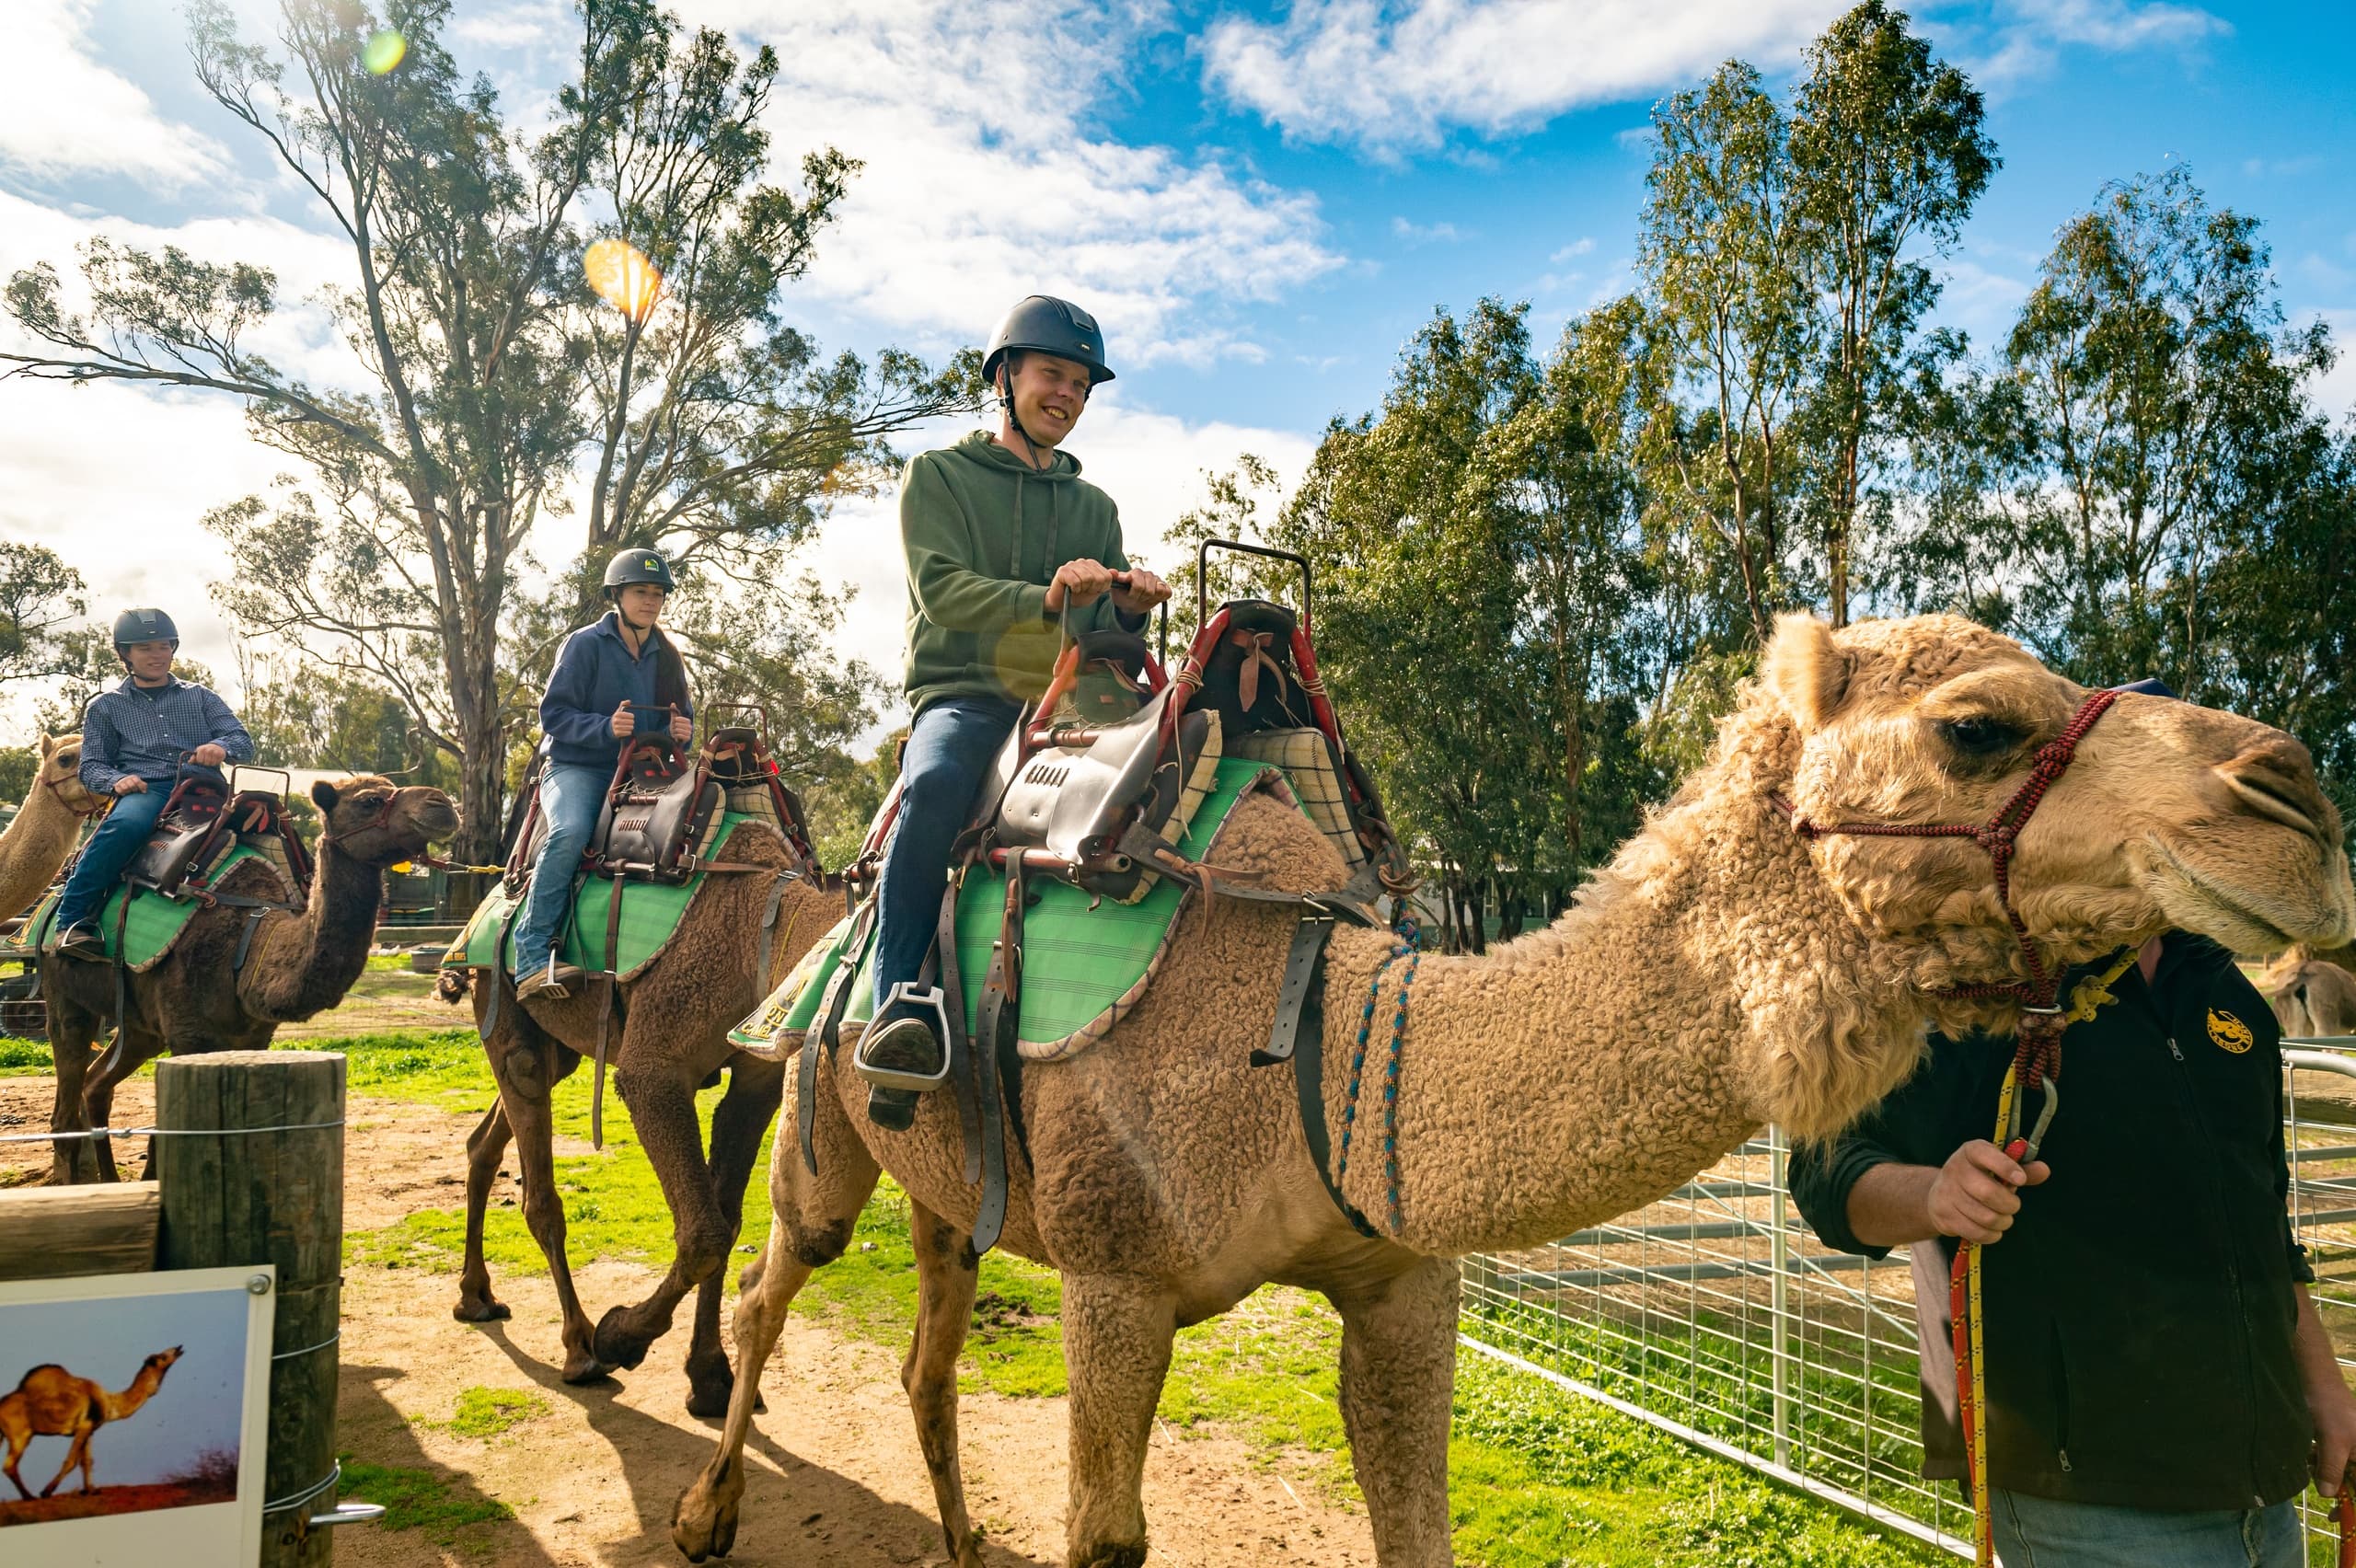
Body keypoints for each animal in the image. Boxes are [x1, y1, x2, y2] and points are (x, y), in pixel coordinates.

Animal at [1, 1346, 183, 1499]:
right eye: (163, 1356)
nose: (179, 1348)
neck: (110, 1403)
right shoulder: (84, 1426)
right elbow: (71, 1461)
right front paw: (46, 1491)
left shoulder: (89, 1429)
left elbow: (87, 1461)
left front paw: (90, 1490)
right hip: (20, 1435)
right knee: (9, 1465)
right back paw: (29, 1497)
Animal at [43, 777, 458, 1184]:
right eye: (369, 800)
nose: (442, 804)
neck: (246, 942)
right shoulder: (190, 1036)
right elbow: (167, 1141)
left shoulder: (254, 1036)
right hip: (64, 994)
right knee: (66, 1104)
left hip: (140, 1024)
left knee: (96, 1086)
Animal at [439, 820, 840, 1417]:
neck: (764, 928)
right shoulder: (654, 1070)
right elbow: (704, 1233)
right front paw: (618, 1338)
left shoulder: (755, 1084)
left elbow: (727, 1221)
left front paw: (712, 1379)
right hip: (500, 996)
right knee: (537, 1179)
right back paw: (580, 1348)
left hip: (560, 1047)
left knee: (485, 1142)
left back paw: (476, 1297)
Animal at [670, 612, 2356, 1568]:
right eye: (1977, 726)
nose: (2297, 799)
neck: (1324, 1042)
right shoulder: (1117, 1277)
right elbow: (1108, 1537)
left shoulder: (1403, 1275)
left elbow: (1417, 1527)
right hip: (827, 1111)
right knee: (778, 1276)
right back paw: (703, 1509)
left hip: (954, 1187)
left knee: (925, 1345)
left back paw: (959, 1535)